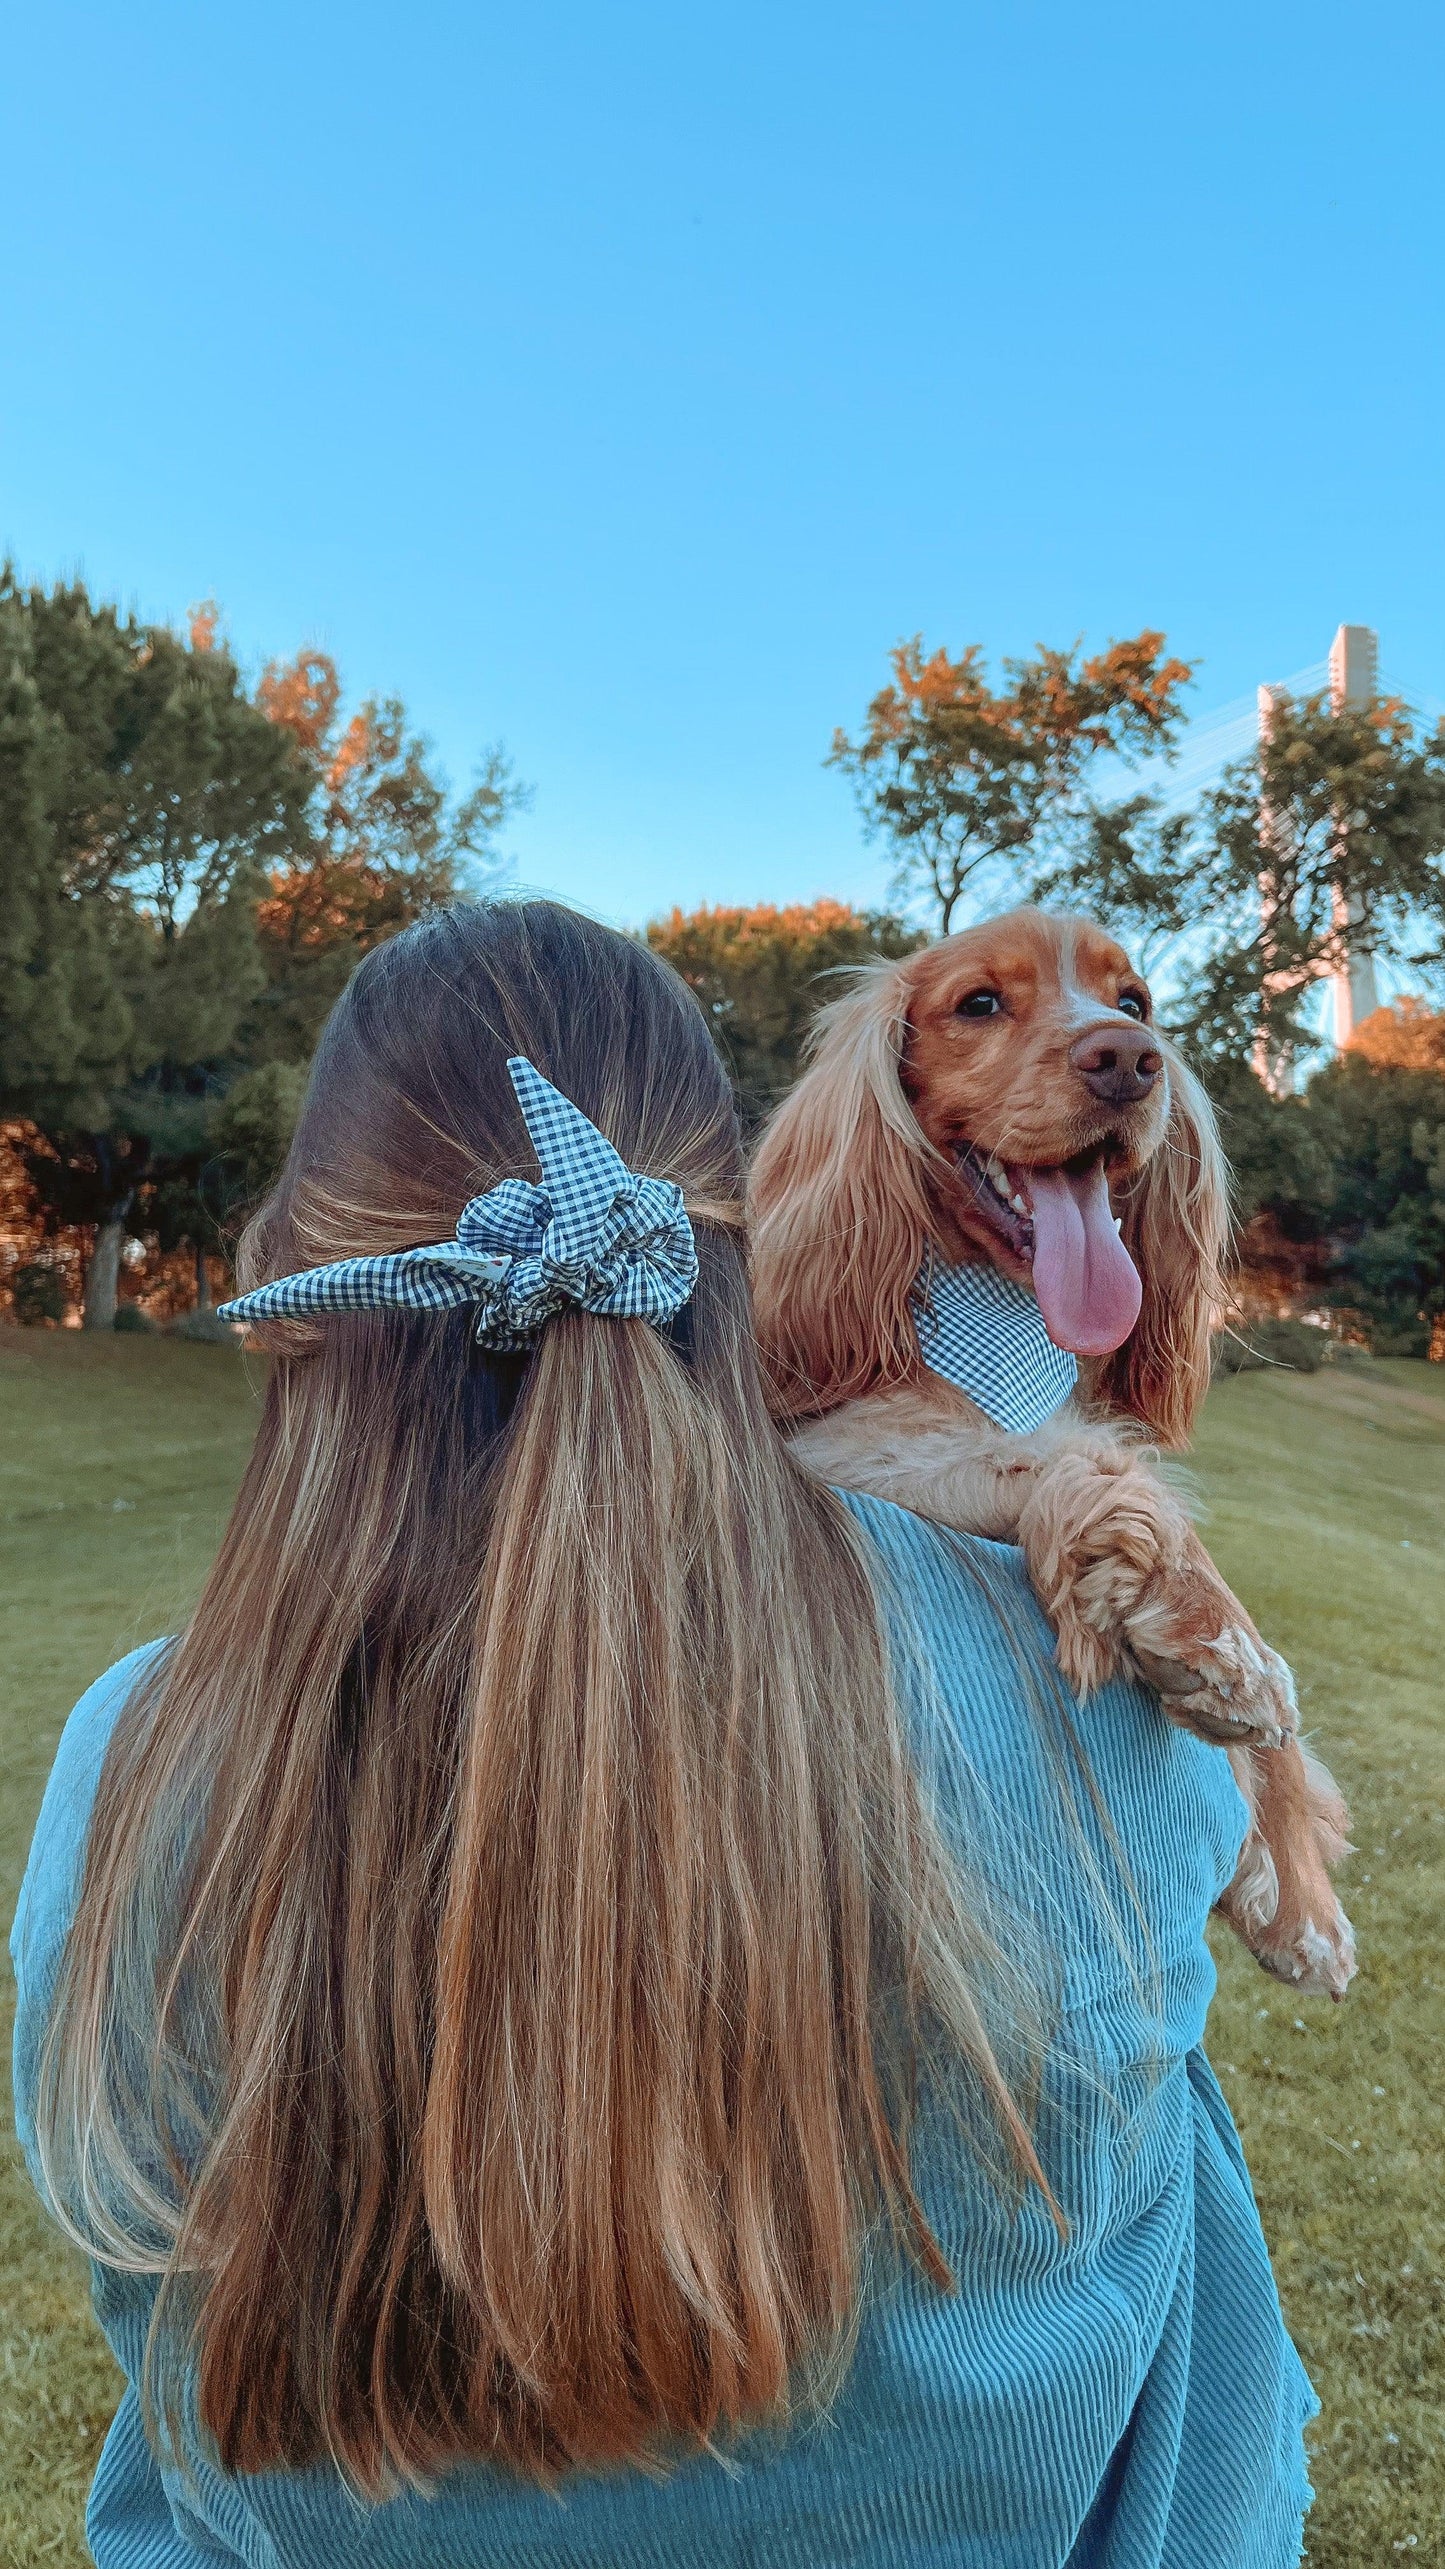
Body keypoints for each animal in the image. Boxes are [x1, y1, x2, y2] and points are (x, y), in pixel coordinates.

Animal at [745, 904, 1357, 2003]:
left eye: (1135, 1001)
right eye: (980, 1002)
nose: (1127, 1060)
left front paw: (1297, 1893)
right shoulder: (852, 1447)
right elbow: (1111, 1484)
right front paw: (1217, 1641)